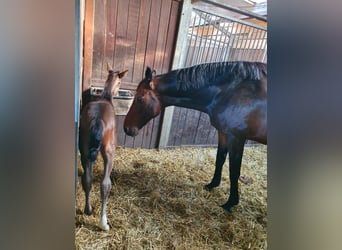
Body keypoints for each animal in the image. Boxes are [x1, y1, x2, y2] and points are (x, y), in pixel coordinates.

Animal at [79, 67, 128, 230]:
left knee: (87, 179)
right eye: (120, 82)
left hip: (84, 150)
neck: (105, 97)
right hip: (108, 152)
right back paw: (103, 223)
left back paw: (88, 210)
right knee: (105, 184)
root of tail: (97, 119)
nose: (119, 91)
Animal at [123, 61, 268, 211]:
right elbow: (220, 159)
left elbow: (234, 171)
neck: (231, 92)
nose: (126, 128)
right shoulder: (223, 133)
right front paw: (212, 185)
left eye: (140, 98)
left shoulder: (237, 138)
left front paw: (230, 203)